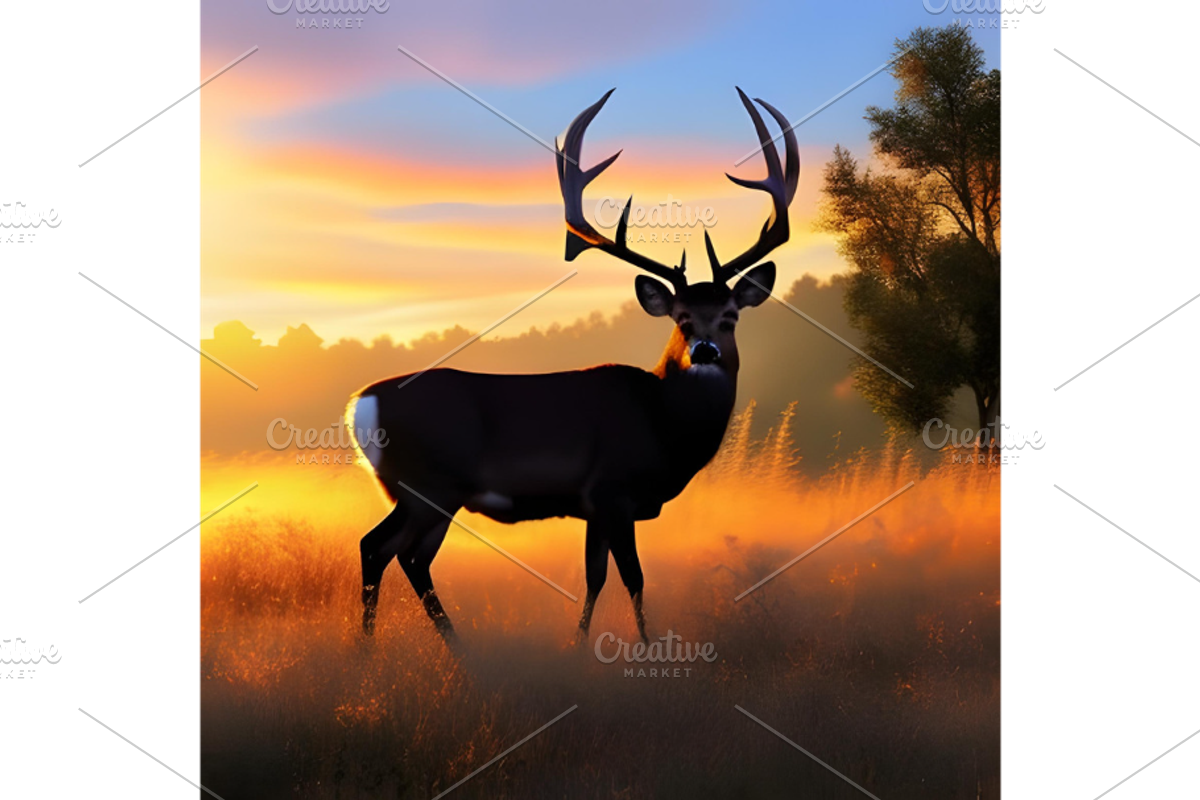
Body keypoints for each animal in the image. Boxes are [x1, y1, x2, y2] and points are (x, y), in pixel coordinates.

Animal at [346, 87, 797, 646]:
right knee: (389, 549)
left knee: (393, 552)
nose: (705, 352)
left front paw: (579, 648)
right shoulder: (614, 490)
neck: (664, 423)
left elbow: (595, 577)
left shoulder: (593, 507)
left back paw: (415, 651)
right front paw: (646, 648)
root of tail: (361, 404)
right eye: (683, 319)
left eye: (731, 317)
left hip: (426, 492)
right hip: (430, 483)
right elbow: (633, 578)